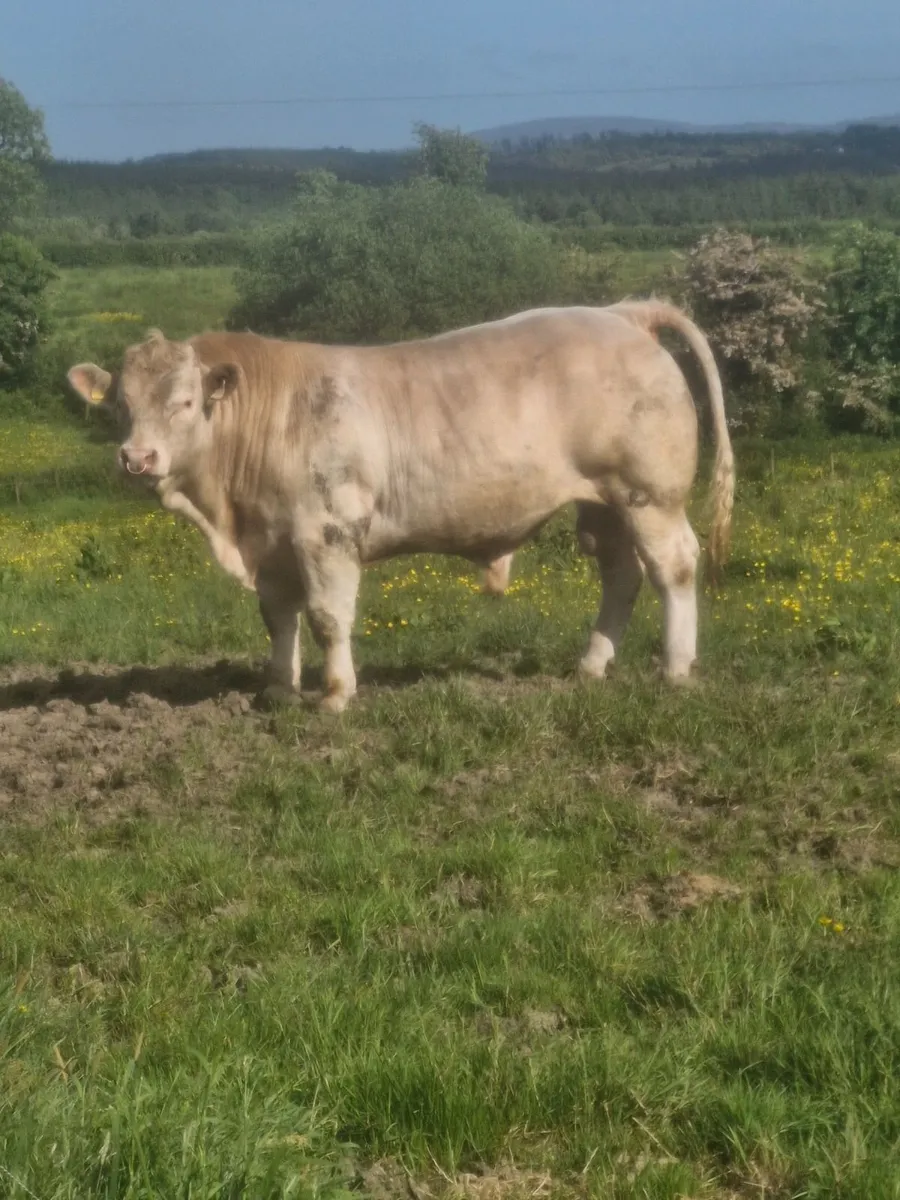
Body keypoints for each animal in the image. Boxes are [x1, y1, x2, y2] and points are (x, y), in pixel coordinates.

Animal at [67, 301, 734, 713]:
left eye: (183, 401)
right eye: (121, 404)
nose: (137, 458)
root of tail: (623, 313)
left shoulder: (328, 532)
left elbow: (328, 617)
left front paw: (336, 694)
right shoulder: (273, 543)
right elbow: (279, 618)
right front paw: (278, 690)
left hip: (651, 495)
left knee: (673, 567)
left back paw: (676, 669)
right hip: (604, 505)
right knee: (620, 575)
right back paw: (592, 665)